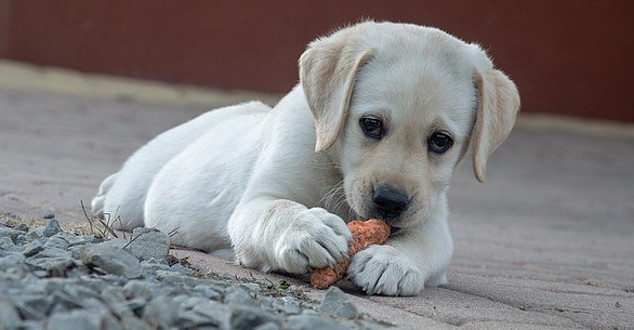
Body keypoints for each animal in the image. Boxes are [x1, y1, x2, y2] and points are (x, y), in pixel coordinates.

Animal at [94, 21, 520, 296]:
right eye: (370, 124)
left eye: (440, 141)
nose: (390, 202)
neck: (336, 168)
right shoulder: (255, 202)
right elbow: (277, 210)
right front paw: (307, 230)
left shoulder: (432, 219)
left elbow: (425, 244)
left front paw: (393, 261)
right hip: (131, 198)